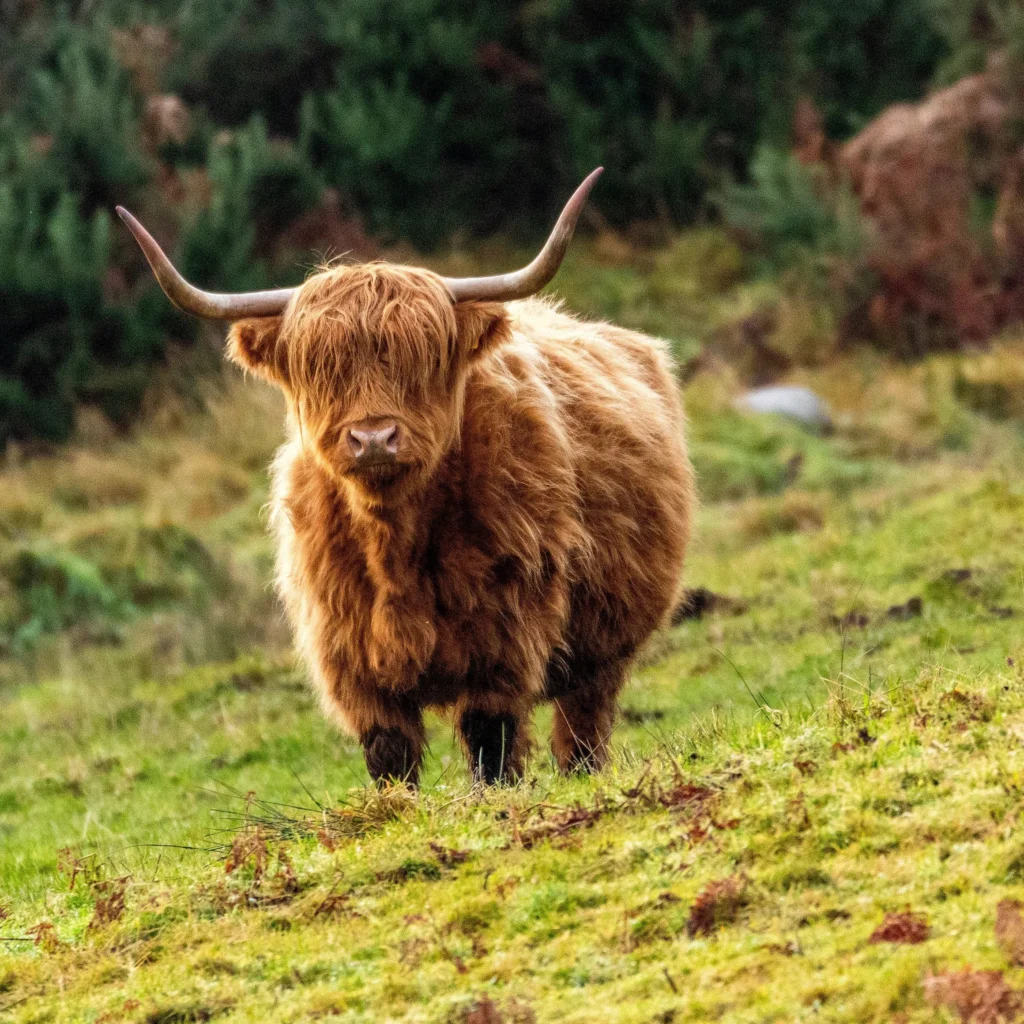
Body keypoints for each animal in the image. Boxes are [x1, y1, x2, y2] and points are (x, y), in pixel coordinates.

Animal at [118, 169, 693, 785]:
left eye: (423, 357)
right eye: (321, 367)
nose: (373, 438)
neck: (394, 541)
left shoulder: (504, 639)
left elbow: (490, 742)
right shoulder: (350, 658)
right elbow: (390, 754)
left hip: (603, 646)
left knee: (582, 727)